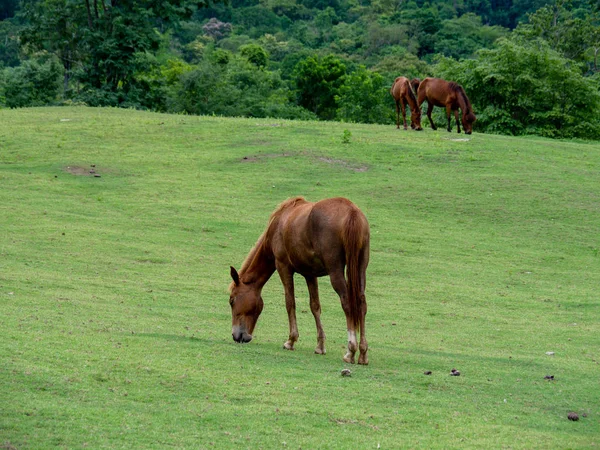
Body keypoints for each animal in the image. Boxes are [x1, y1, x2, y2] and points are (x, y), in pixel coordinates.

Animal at [230, 197, 370, 366]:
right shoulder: (310, 274)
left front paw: (291, 340)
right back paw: (363, 353)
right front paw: (320, 345)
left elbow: (290, 303)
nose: (236, 336)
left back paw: (350, 351)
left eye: (231, 301)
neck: (279, 223)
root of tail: (351, 212)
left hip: (335, 271)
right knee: (361, 304)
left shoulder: (283, 266)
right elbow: (315, 306)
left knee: (347, 303)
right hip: (361, 268)